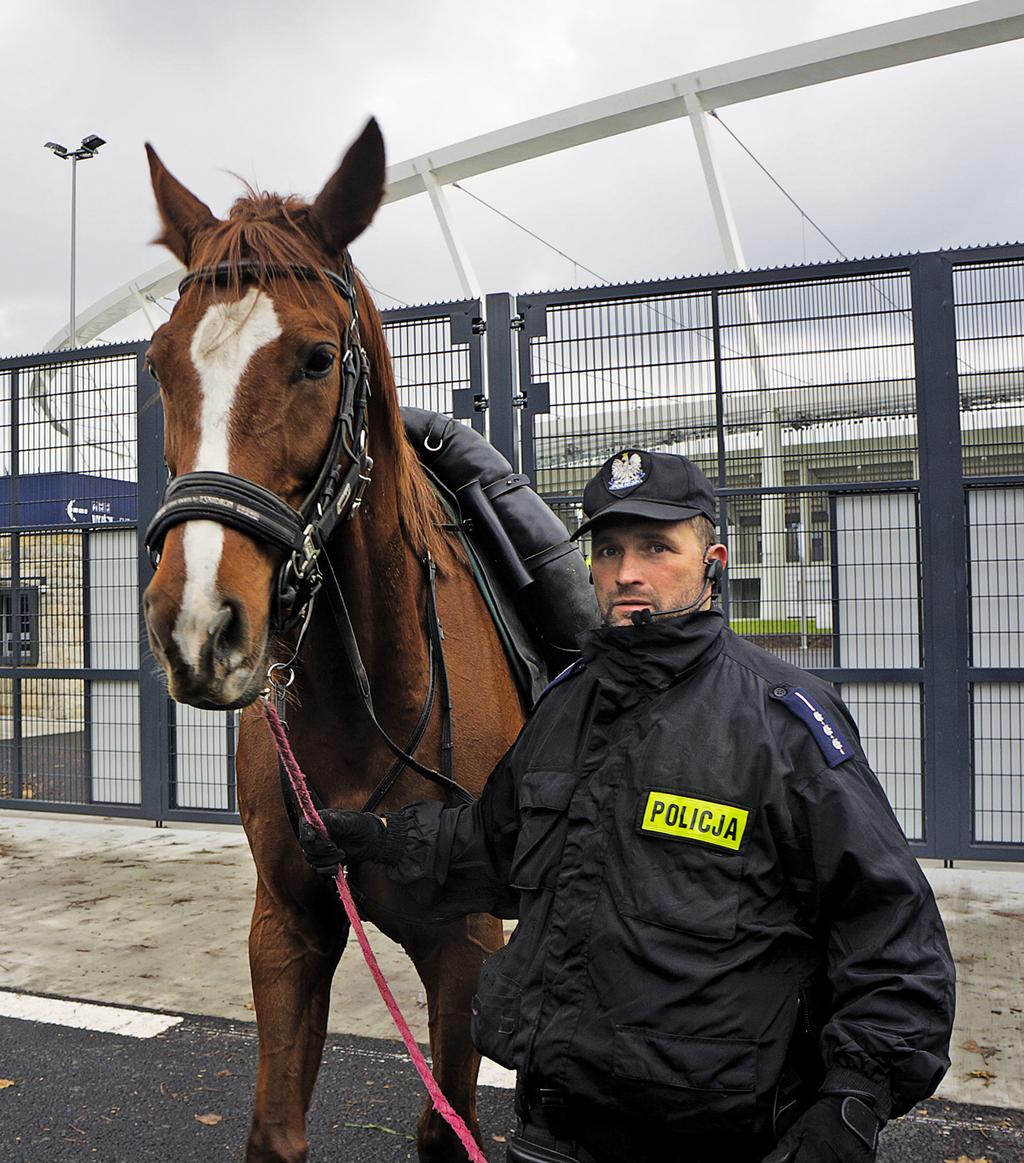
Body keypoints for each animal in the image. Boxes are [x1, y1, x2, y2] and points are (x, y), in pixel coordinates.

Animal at [143, 120, 523, 1163]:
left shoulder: (465, 946)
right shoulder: (289, 925)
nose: (198, 625)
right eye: (157, 362)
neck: (370, 695)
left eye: (317, 358)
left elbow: (448, 1128)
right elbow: (276, 1131)